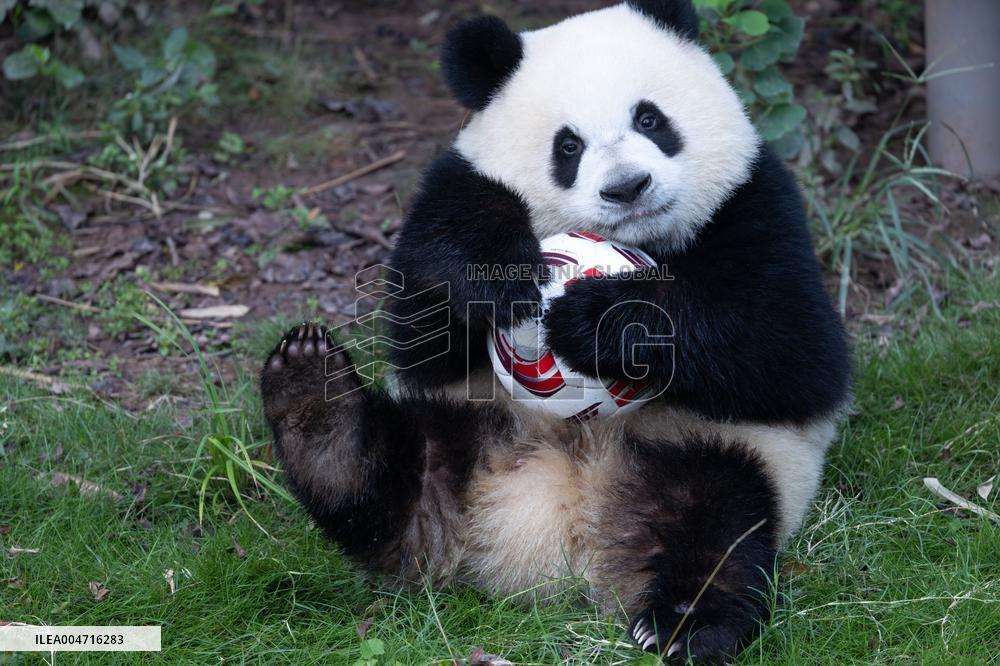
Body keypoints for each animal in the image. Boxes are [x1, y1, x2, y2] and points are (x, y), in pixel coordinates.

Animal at [260, 1, 851, 662]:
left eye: (650, 118)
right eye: (568, 146)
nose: (627, 188)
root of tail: (552, 526)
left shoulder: (755, 199)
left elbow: (789, 344)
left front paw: (595, 319)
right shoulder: (454, 188)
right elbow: (425, 315)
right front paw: (502, 276)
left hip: (714, 455)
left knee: (719, 531)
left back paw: (684, 624)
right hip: (459, 427)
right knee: (386, 483)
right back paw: (314, 402)